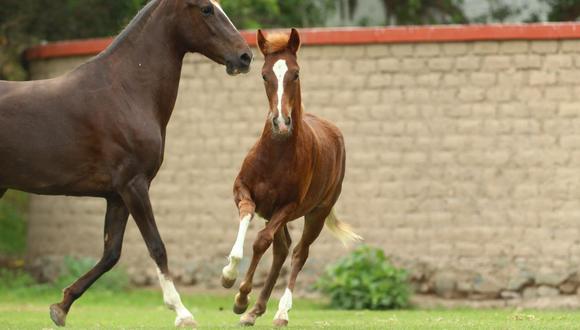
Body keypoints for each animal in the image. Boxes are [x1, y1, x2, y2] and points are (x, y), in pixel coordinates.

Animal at [0, 0, 250, 328]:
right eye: (206, 9)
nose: (245, 56)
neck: (126, 91)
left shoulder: (117, 196)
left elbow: (111, 254)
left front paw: (61, 306)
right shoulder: (134, 186)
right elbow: (156, 246)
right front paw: (182, 312)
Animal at [220, 28, 360, 328]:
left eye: (295, 73)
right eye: (264, 75)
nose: (281, 122)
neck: (276, 153)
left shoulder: (288, 206)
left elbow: (261, 241)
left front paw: (241, 297)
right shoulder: (243, 191)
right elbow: (246, 218)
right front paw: (229, 275)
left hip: (317, 212)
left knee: (298, 253)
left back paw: (280, 312)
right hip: (276, 214)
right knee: (282, 249)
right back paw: (255, 310)